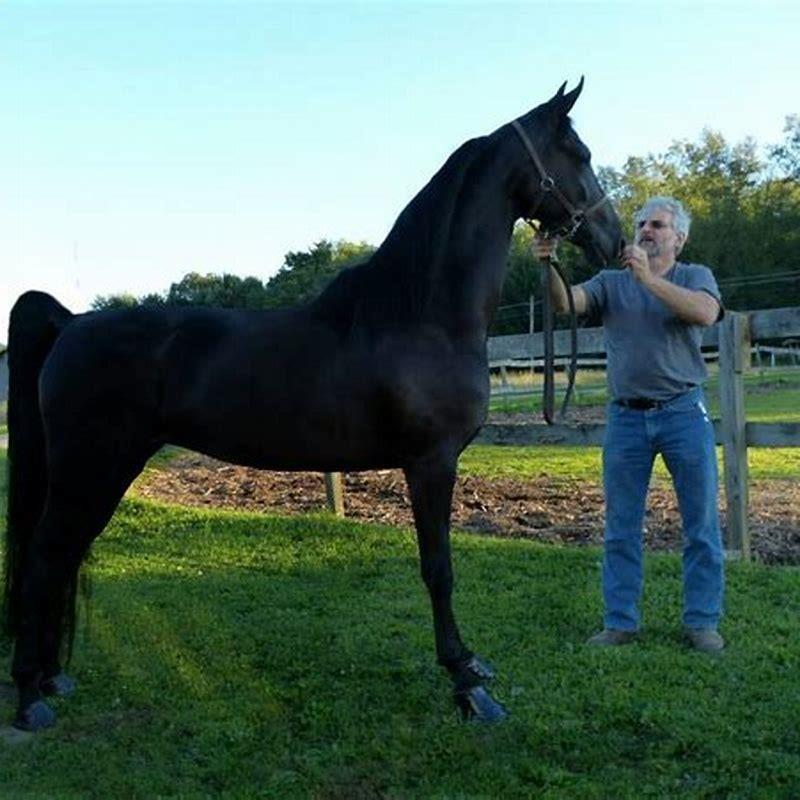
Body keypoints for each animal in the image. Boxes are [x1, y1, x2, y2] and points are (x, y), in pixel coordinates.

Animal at [3, 79, 622, 731]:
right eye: (579, 154)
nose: (615, 239)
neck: (419, 313)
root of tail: (71, 323)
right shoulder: (430, 462)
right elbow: (439, 569)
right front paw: (467, 683)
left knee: (64, 556)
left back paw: (50, 679)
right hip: (92, 467)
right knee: (45, 558)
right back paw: (28, 698)